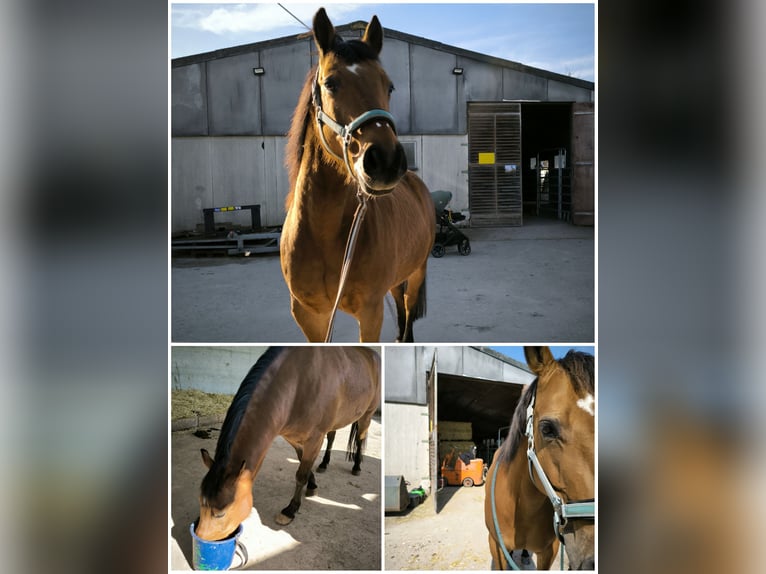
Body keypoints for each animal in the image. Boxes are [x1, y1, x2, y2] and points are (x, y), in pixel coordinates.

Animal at [195, 346, 380, 544]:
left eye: (220, 514)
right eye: (200, 502)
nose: (200, 538)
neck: (298, 383)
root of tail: (372, 354)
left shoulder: (315, 438)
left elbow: (300, 474)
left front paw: (290, 510)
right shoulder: (293, 437)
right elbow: (302, 462)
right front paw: (312, 485)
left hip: (367, 415)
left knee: (360, 438)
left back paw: (357, 466)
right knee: (332, 436)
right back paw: (324, 464)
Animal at [282, 7, 438, 342]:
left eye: (389, 86)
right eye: (330, 83)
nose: (386, 161)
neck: (323, 234)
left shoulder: (370, 312)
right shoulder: (309, 317)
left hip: (416, 272)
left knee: (408, 311)